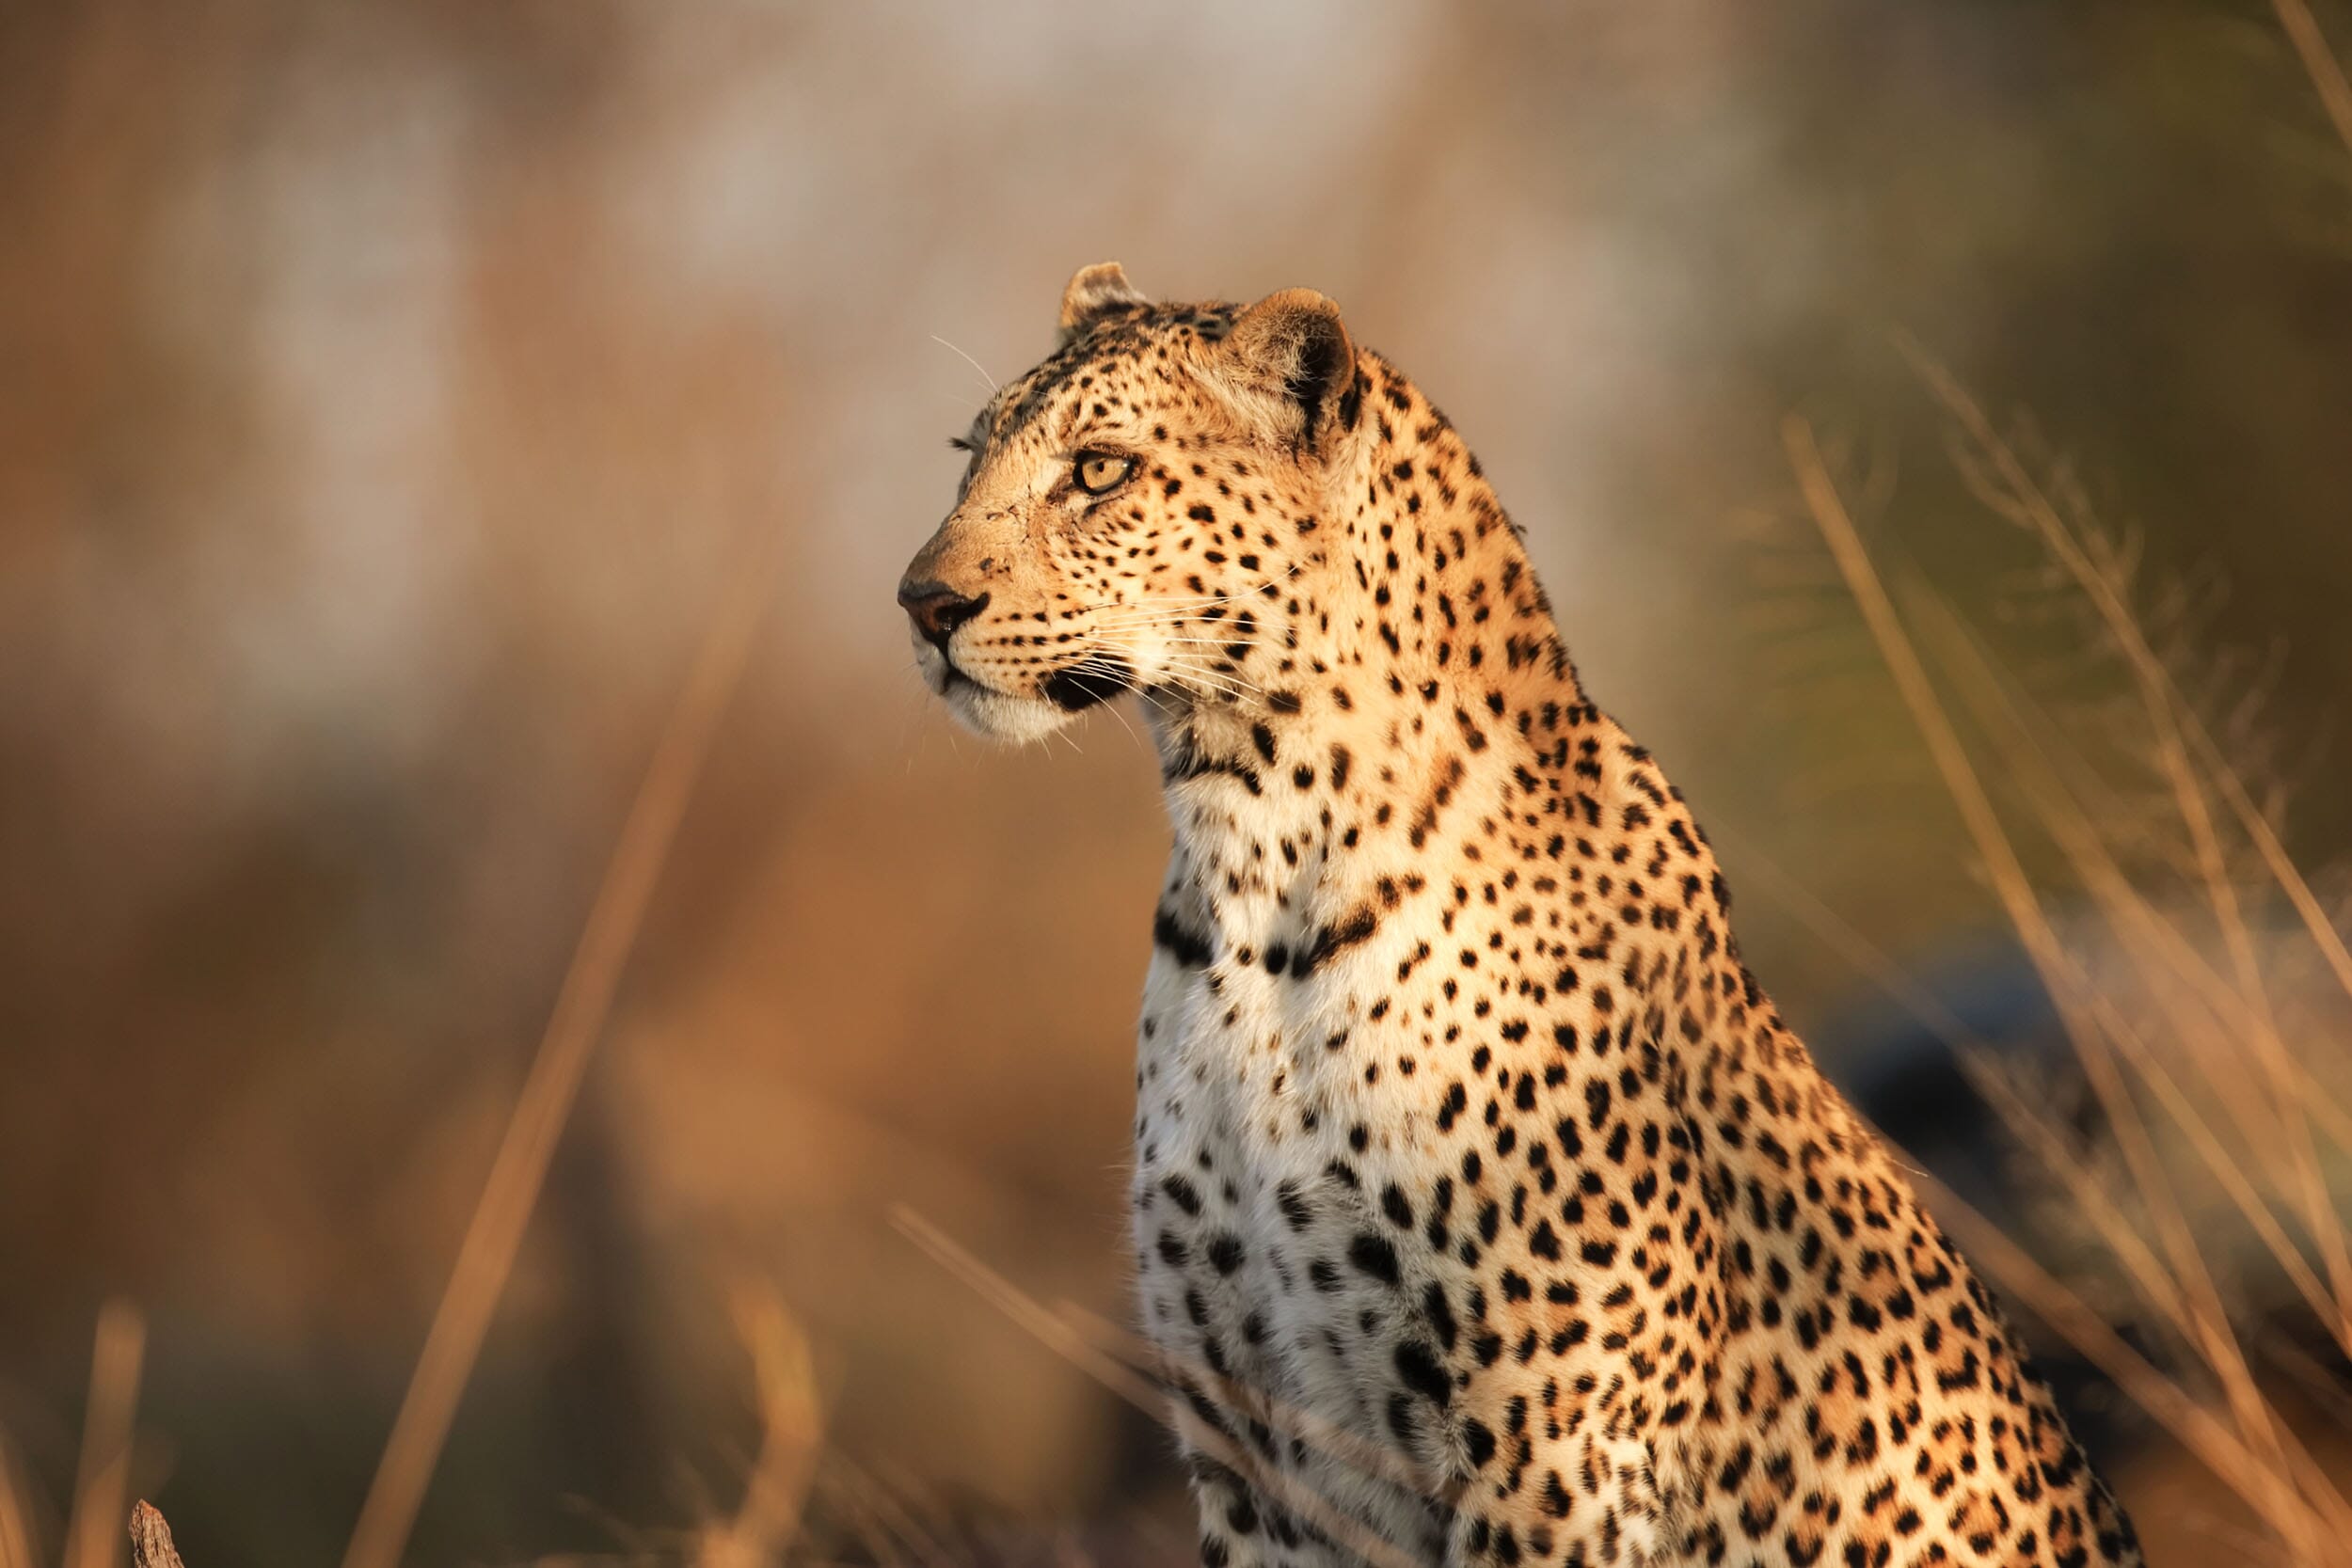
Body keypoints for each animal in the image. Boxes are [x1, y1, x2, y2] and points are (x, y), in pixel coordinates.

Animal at [896, 263, 2142, 1568]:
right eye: (967, 457)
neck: (1247, 858)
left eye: (1098, 469)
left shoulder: (1553, 1442)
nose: (921, 601)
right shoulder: (1251, 1441)